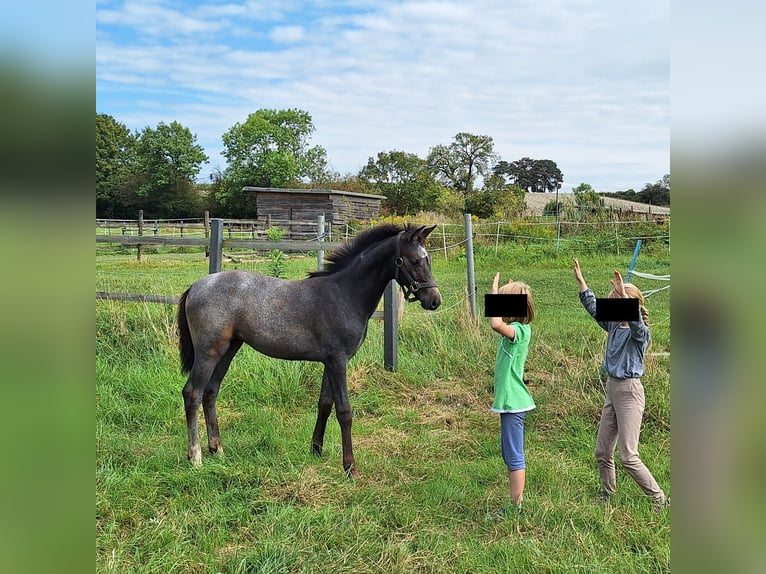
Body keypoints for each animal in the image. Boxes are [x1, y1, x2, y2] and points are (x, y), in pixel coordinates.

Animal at [179, 223, 440, 480]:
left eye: (428, 260)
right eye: (415, 261)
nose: (435, 300)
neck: (344, 294)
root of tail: (196, 286)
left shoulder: (329, 362)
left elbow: (324, 404)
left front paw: (316, 450)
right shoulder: (338, 361)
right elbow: (344, 411)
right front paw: (350, 468)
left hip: (229, 349)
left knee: (210, 392)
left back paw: (218, 450)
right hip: (209, 353)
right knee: (193, 393)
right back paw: (196, 457)